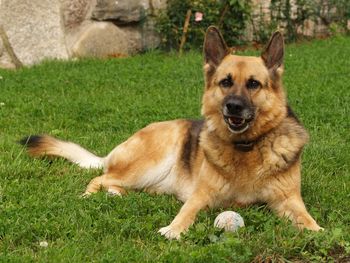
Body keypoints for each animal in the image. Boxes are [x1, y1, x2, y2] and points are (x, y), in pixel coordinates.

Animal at [20, 26, 322, 241]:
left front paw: (318, 232)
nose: (233, 107)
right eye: (225, 82)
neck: (246, 147)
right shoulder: (200, 196)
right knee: (99, 178)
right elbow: (186, 211)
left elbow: (306, 219)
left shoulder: (289, 200)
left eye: (254, 84)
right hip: (150, 162)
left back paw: (116, 194)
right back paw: (91, 196)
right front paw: (174, 230)